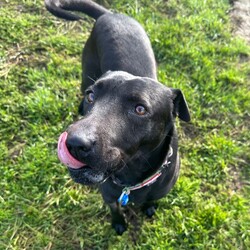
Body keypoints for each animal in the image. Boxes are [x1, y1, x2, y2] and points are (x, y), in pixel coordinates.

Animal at [45, 0, 189, 234]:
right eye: (92, 97)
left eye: (140, 109)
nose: (74, 142)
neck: (132, 181)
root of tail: (110, 14)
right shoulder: (109, 196)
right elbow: (115, 210)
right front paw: (119, 223)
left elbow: (151, 201)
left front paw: (149, 208)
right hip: (86, 72)